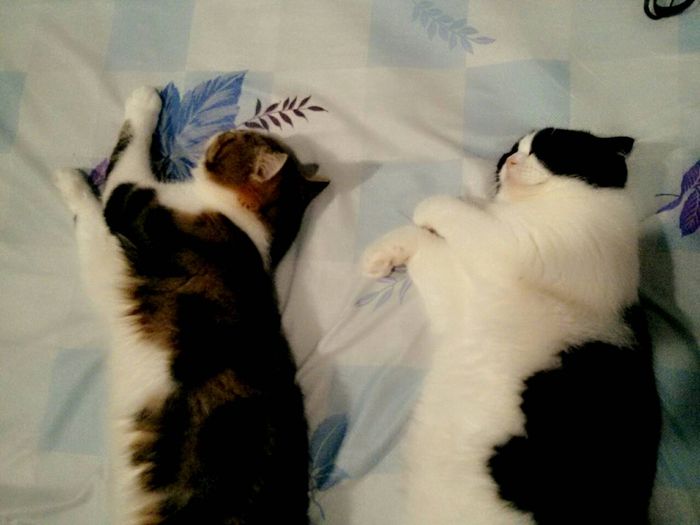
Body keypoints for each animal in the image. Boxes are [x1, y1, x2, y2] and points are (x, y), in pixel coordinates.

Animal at [54, 86, 328, 525]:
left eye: (232, 140)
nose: (227, 129)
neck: (242, 225)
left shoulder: (133, 204)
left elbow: (121, 160)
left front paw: (142, 103)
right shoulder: (110, 272)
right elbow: (92, 227)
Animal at [362, 128, 661, 525]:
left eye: (548, 148)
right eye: (510, 150)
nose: (510, 160)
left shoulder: (513, 245)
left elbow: (458, 214)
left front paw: (428, 209)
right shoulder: (462, 298)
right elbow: (429, 249)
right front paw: (379, 256)